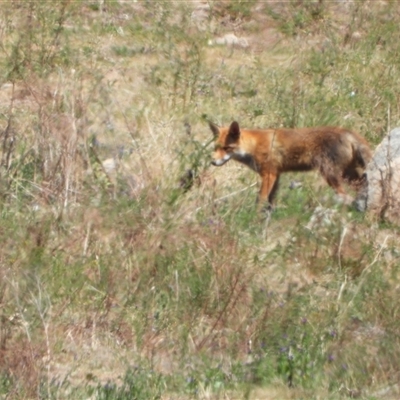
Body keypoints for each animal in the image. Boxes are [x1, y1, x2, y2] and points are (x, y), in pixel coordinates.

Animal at [209, 121, 372, 209]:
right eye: (216, 148)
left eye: (227, 148)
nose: (213, 162)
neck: (253, 146)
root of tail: (347, 132)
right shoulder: (276, 175)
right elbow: (270, 201)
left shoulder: (269, 174)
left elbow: (261, 199)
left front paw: (254, 216)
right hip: (347, 174)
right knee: (362, 186)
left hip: (331, 174)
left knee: (345, 195)